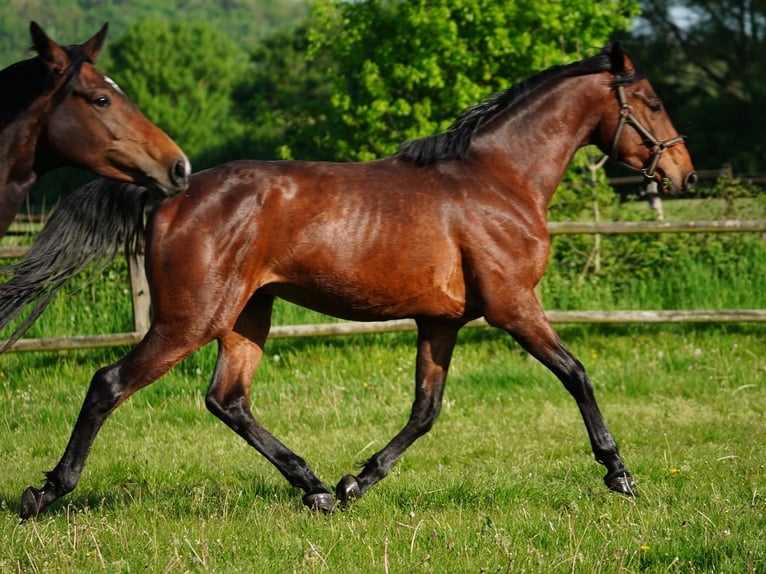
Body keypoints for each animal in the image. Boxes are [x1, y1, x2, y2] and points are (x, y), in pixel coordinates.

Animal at [3, 41, 700, 516]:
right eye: (654, 102)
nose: (684, 176)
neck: (500, 179)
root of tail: (170, 190)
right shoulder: (513, 306)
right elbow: (577, 374)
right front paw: (619, 474)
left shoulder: (441, 321)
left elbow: (425, 410)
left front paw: (355, 482)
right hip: (189, 320)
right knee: (110, 383)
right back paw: (46, 493)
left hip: (245, 317)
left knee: (228, 400)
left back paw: (314, 488)